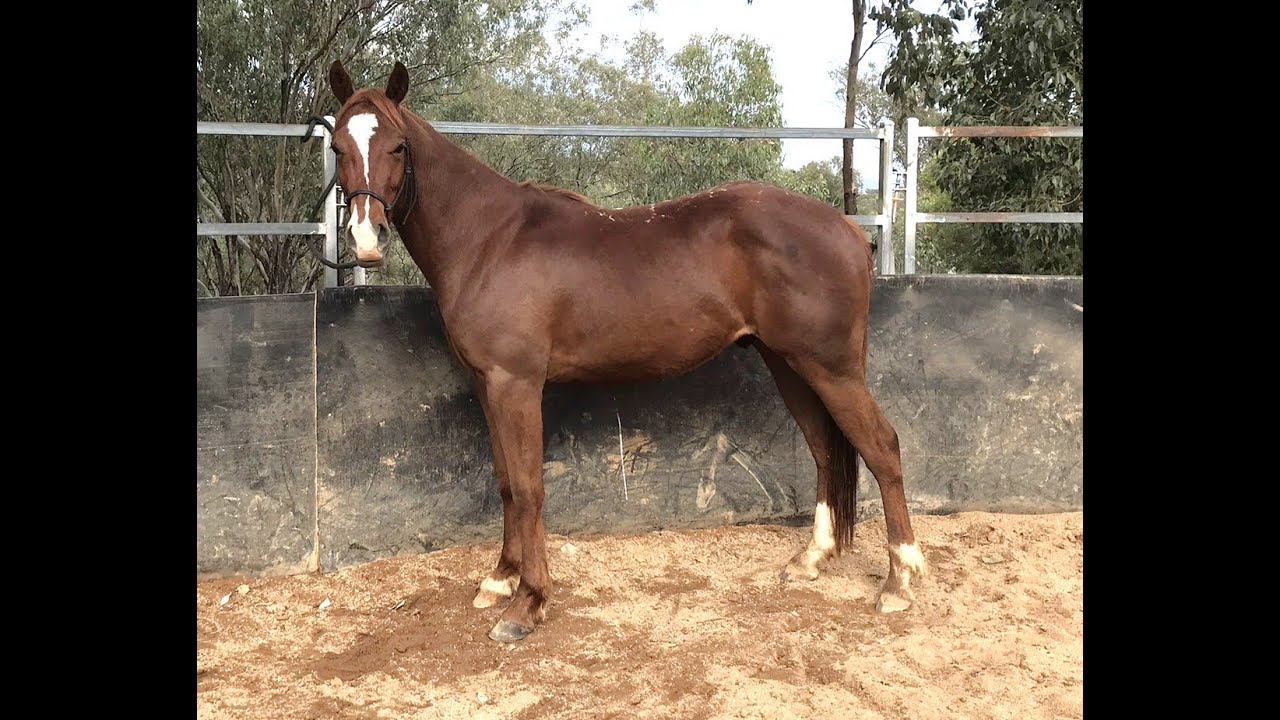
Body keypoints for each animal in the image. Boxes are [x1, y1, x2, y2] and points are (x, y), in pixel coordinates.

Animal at [324, 60, 926, 643]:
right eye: (338, 146)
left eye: (398, 146)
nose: (367, 239)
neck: (490, 239)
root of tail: (847, 229)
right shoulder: (488, 383)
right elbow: (505, 483)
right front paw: (500, 578)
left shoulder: (516, 383)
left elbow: (529, 486)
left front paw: (528, 602)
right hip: (790, 365)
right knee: (825, 448)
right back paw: (812, 558)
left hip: (832, 370)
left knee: (882, 447)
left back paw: (899, 581)